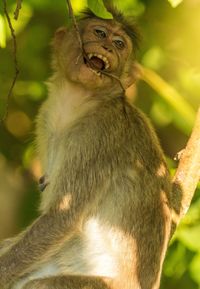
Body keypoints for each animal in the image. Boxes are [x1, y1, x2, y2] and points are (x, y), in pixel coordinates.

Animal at [0, 6, 172, 288]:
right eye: (100, 32)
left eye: (119, 44)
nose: (108, 47)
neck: (79, 101)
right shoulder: (45, 116)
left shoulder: (98, 133)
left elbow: (61, 216)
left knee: (39, 283)